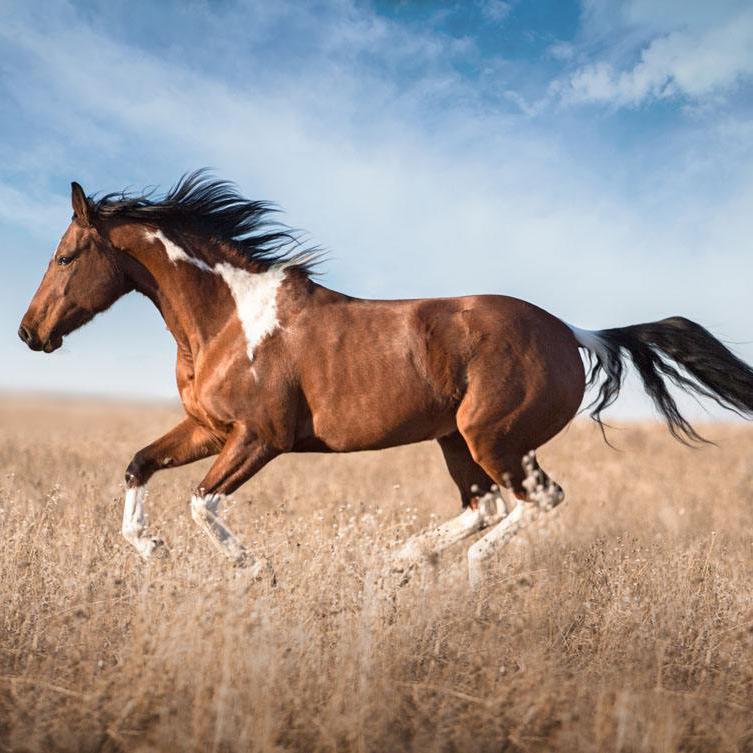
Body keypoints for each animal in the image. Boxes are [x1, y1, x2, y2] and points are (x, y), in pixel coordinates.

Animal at [19, 173, 753, 584]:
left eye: (66, 255)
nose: (29, 333)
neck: (226, 318)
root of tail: (574, 332)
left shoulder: (260, 437)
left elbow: (202, 502)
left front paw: (254, 570)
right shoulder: (208, 428)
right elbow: (138, 465)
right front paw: (152, 550)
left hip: (494, 438)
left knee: (537, 500)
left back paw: (463, 571)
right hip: (457, 440)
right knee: (484, 505)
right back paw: (401, 561)